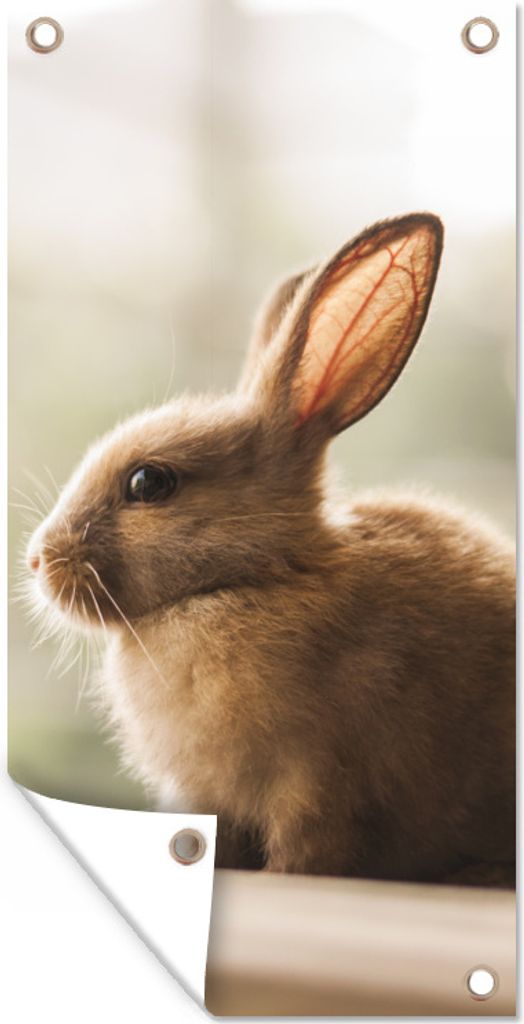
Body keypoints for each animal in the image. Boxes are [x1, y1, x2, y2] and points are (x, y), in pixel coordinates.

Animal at [26, 213, 515, 886]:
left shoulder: (315, 784)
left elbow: (303, 854)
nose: (36, 560)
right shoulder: (214, 800)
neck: (249, 578)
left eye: (149, 483)